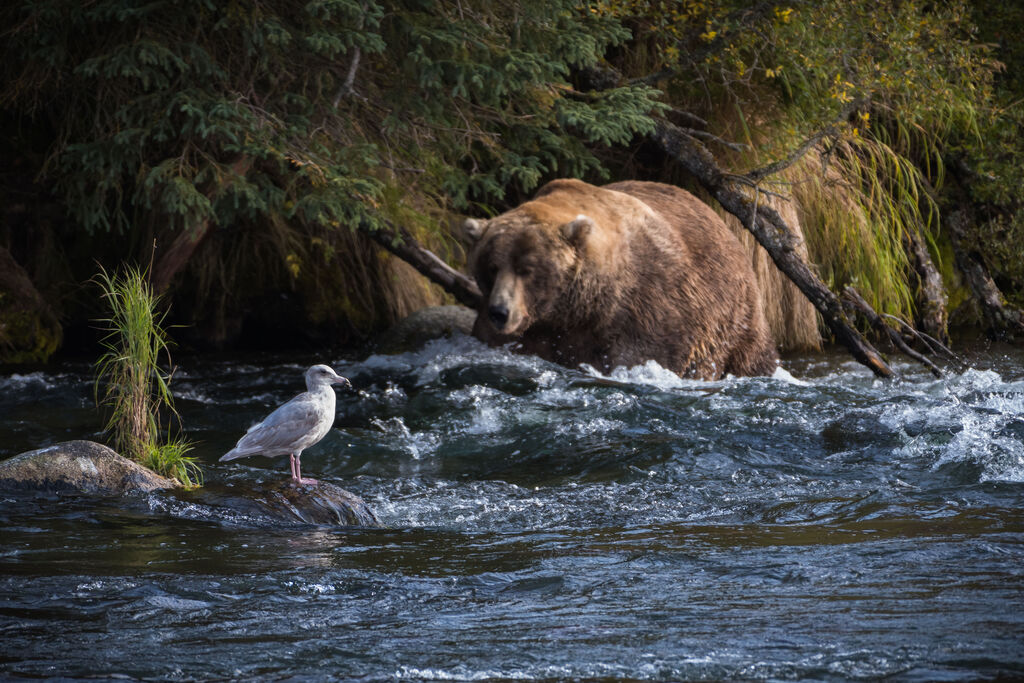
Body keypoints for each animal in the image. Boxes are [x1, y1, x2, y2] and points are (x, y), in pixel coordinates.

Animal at [464, 178, 774, 378]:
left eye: (527, 269)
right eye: (492, 266)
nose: (500, 312)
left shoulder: (649, 307)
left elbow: (641, 356)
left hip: (735, 315)